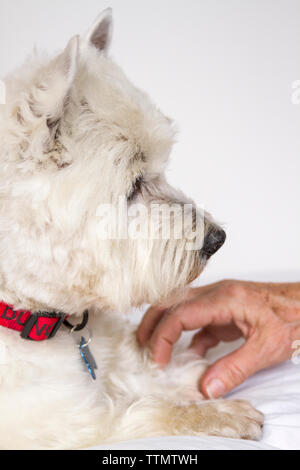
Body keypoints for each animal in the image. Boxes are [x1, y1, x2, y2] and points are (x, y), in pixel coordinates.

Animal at [0, 8, 262, 448]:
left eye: (159, 168)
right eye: (134, 185)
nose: (217, 239)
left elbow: (144, 368)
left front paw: (197, 373)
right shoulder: (69, 425)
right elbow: (147, 412)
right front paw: (221, 412)